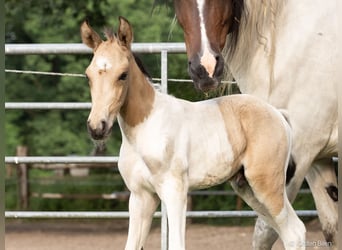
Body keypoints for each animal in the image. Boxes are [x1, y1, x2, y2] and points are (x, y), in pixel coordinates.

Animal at [81, 16, 306, 249]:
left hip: (267, 185)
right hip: (247, 188)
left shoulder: (174, 192)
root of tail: (278, 114)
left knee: (294, 231)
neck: (146, 128)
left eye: (123, 75)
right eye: (88, 76)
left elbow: (176, 244)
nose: (97, 127)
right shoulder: (140, 196)